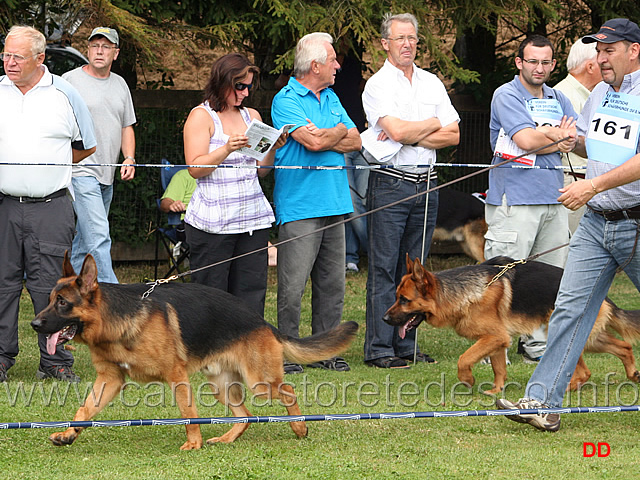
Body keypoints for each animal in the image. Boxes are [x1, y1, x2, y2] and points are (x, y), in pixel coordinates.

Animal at [31, 255, 360, 450]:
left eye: (62, 303)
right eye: (49, 300)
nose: (35, 324)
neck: (114, 321)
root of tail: (263, 322)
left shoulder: (176, 376)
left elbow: (188, 412)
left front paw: (193, 443)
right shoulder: (109, 380)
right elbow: (85, 409)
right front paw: (68, 434)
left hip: (260, 382)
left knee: (288, 391)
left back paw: (299, 427)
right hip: (222, 386)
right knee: (245, 415)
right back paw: (227, 438)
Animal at [382, 255, 640, 394]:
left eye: (404, 300)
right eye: (395, 297)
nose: (384, 319)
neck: (463, 292)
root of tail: (603, 295)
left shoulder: (494, 337)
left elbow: (464, 358)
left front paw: (468, 380)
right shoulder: (497, 340)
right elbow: (499, 369)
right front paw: (496, 392)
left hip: (568, 334)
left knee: (586, 370)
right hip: (587, 337)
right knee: (623, 347)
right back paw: (632, 374)